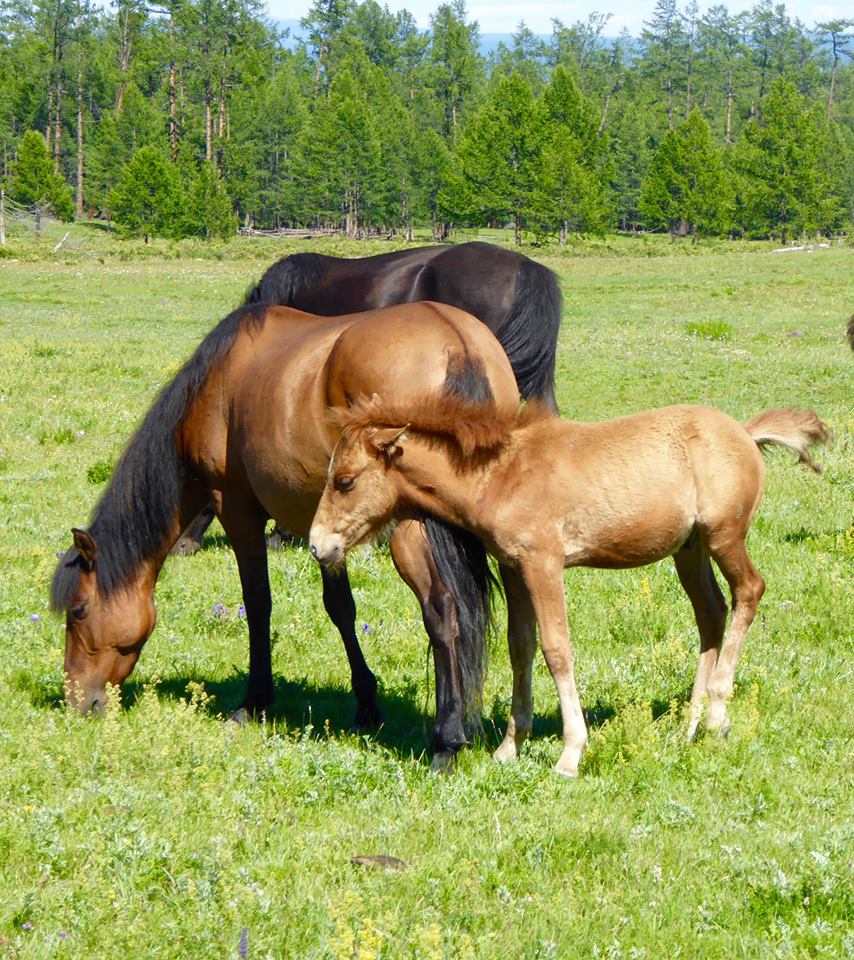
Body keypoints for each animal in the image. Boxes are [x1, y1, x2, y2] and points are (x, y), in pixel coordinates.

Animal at [51, 300, 520, 764]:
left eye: (79, 611)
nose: (78, 702)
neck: (216, 384)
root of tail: (456, 341)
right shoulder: (328, 528)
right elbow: (341, 609)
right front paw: (367, 705)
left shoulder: (238, 511)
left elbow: (258, 603)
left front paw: (255, 700)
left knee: (442, 611)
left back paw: (447, 739)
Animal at [310, 390, 832, 772]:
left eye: (346, 481)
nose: (318, 545)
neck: (502, 474)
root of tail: (743, 432)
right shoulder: (513, 566)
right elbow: (520, 646)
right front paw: (509, 748)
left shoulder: (544, 564)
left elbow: (557, 649)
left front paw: (570, 753)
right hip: (690, 549)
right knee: (711, 613)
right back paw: (688, 725)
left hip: (725, 536)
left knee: (749, 592)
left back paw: (717, 718)